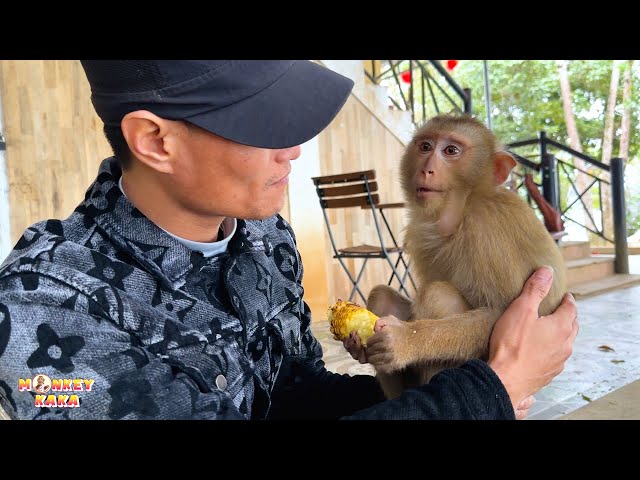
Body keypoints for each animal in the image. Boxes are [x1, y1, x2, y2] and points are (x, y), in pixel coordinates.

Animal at [364, 114, 564, 400]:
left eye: (451, 151)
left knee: (438, 295)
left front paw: (405, 341)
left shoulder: (487, 228)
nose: (426, 169)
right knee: (382, 296)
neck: (461, 210)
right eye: (425, 146)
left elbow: (500, 314)